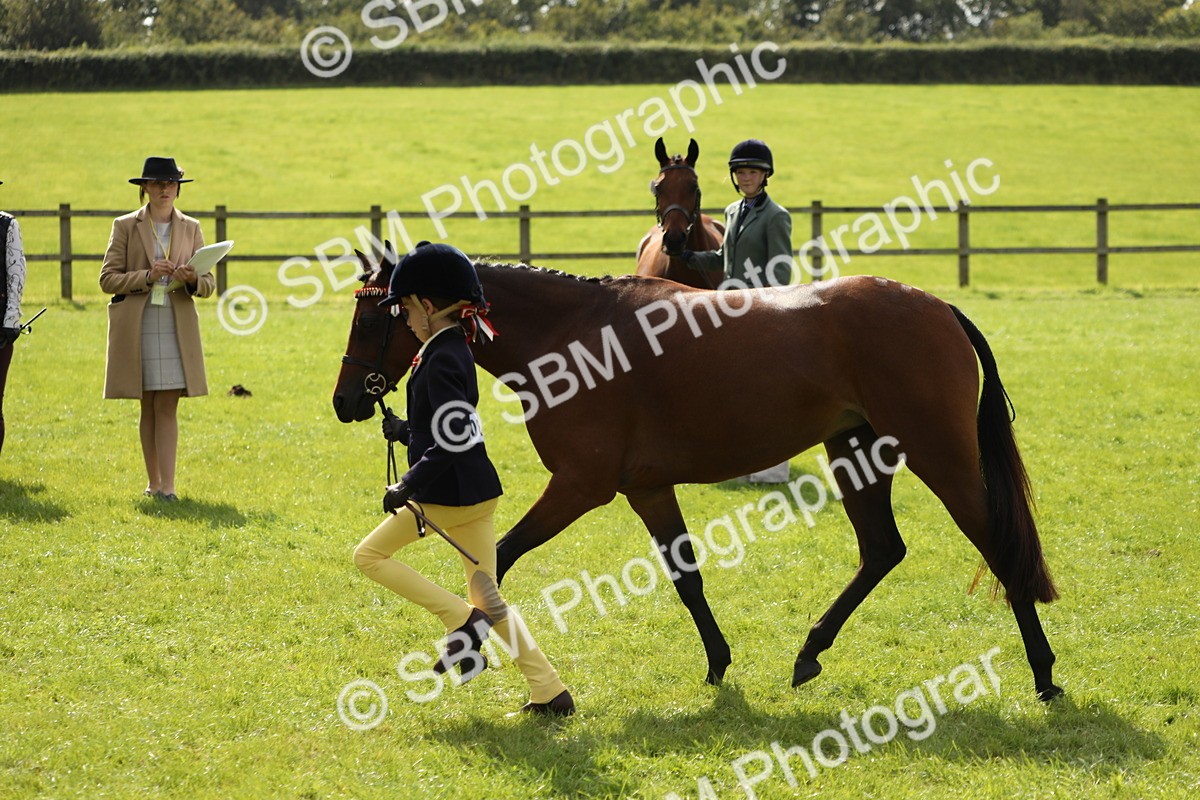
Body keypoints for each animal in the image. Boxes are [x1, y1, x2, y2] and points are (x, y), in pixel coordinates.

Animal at [334, 253, 1064, 702]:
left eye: (371, 317)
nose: (344, 402)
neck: (574, 336)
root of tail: (935, 305)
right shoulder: (648, 488)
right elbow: (687, 578)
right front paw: (718, 663)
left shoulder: (580, 486)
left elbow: (500, 561)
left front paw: (457, 650)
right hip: (855, 451)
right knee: (883, 549)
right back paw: (809, 651)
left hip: (940, 456)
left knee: (996, 545)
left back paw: (1045, 673)